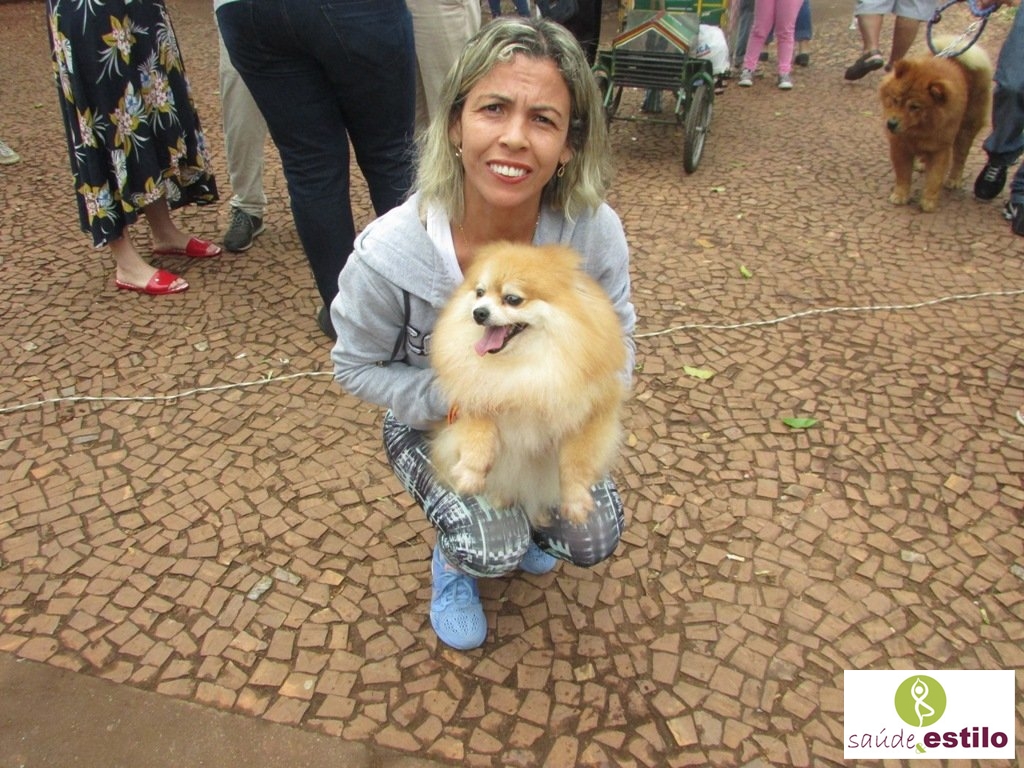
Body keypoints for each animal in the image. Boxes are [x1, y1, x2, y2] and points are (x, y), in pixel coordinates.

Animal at [430, 242, 628, 527]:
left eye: (512, 299)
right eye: (479, 293)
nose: (479, 312)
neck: (522, 366)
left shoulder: (591, 412)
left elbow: (575, 461)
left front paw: (575, 500)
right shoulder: (474, 395)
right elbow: (478, 433)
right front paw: (470, 473)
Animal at [879, 37, 992, 212]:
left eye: (914, 107)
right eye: (895, 100)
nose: (891, 123)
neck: (919, 130)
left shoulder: (940, 149)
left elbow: (935, 177)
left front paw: (928, 202)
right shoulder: (899, 146)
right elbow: (903, 174)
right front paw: (900, 195)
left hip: (966, 129)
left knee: (960, 157)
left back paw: (954, 180)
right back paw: (921, 164)